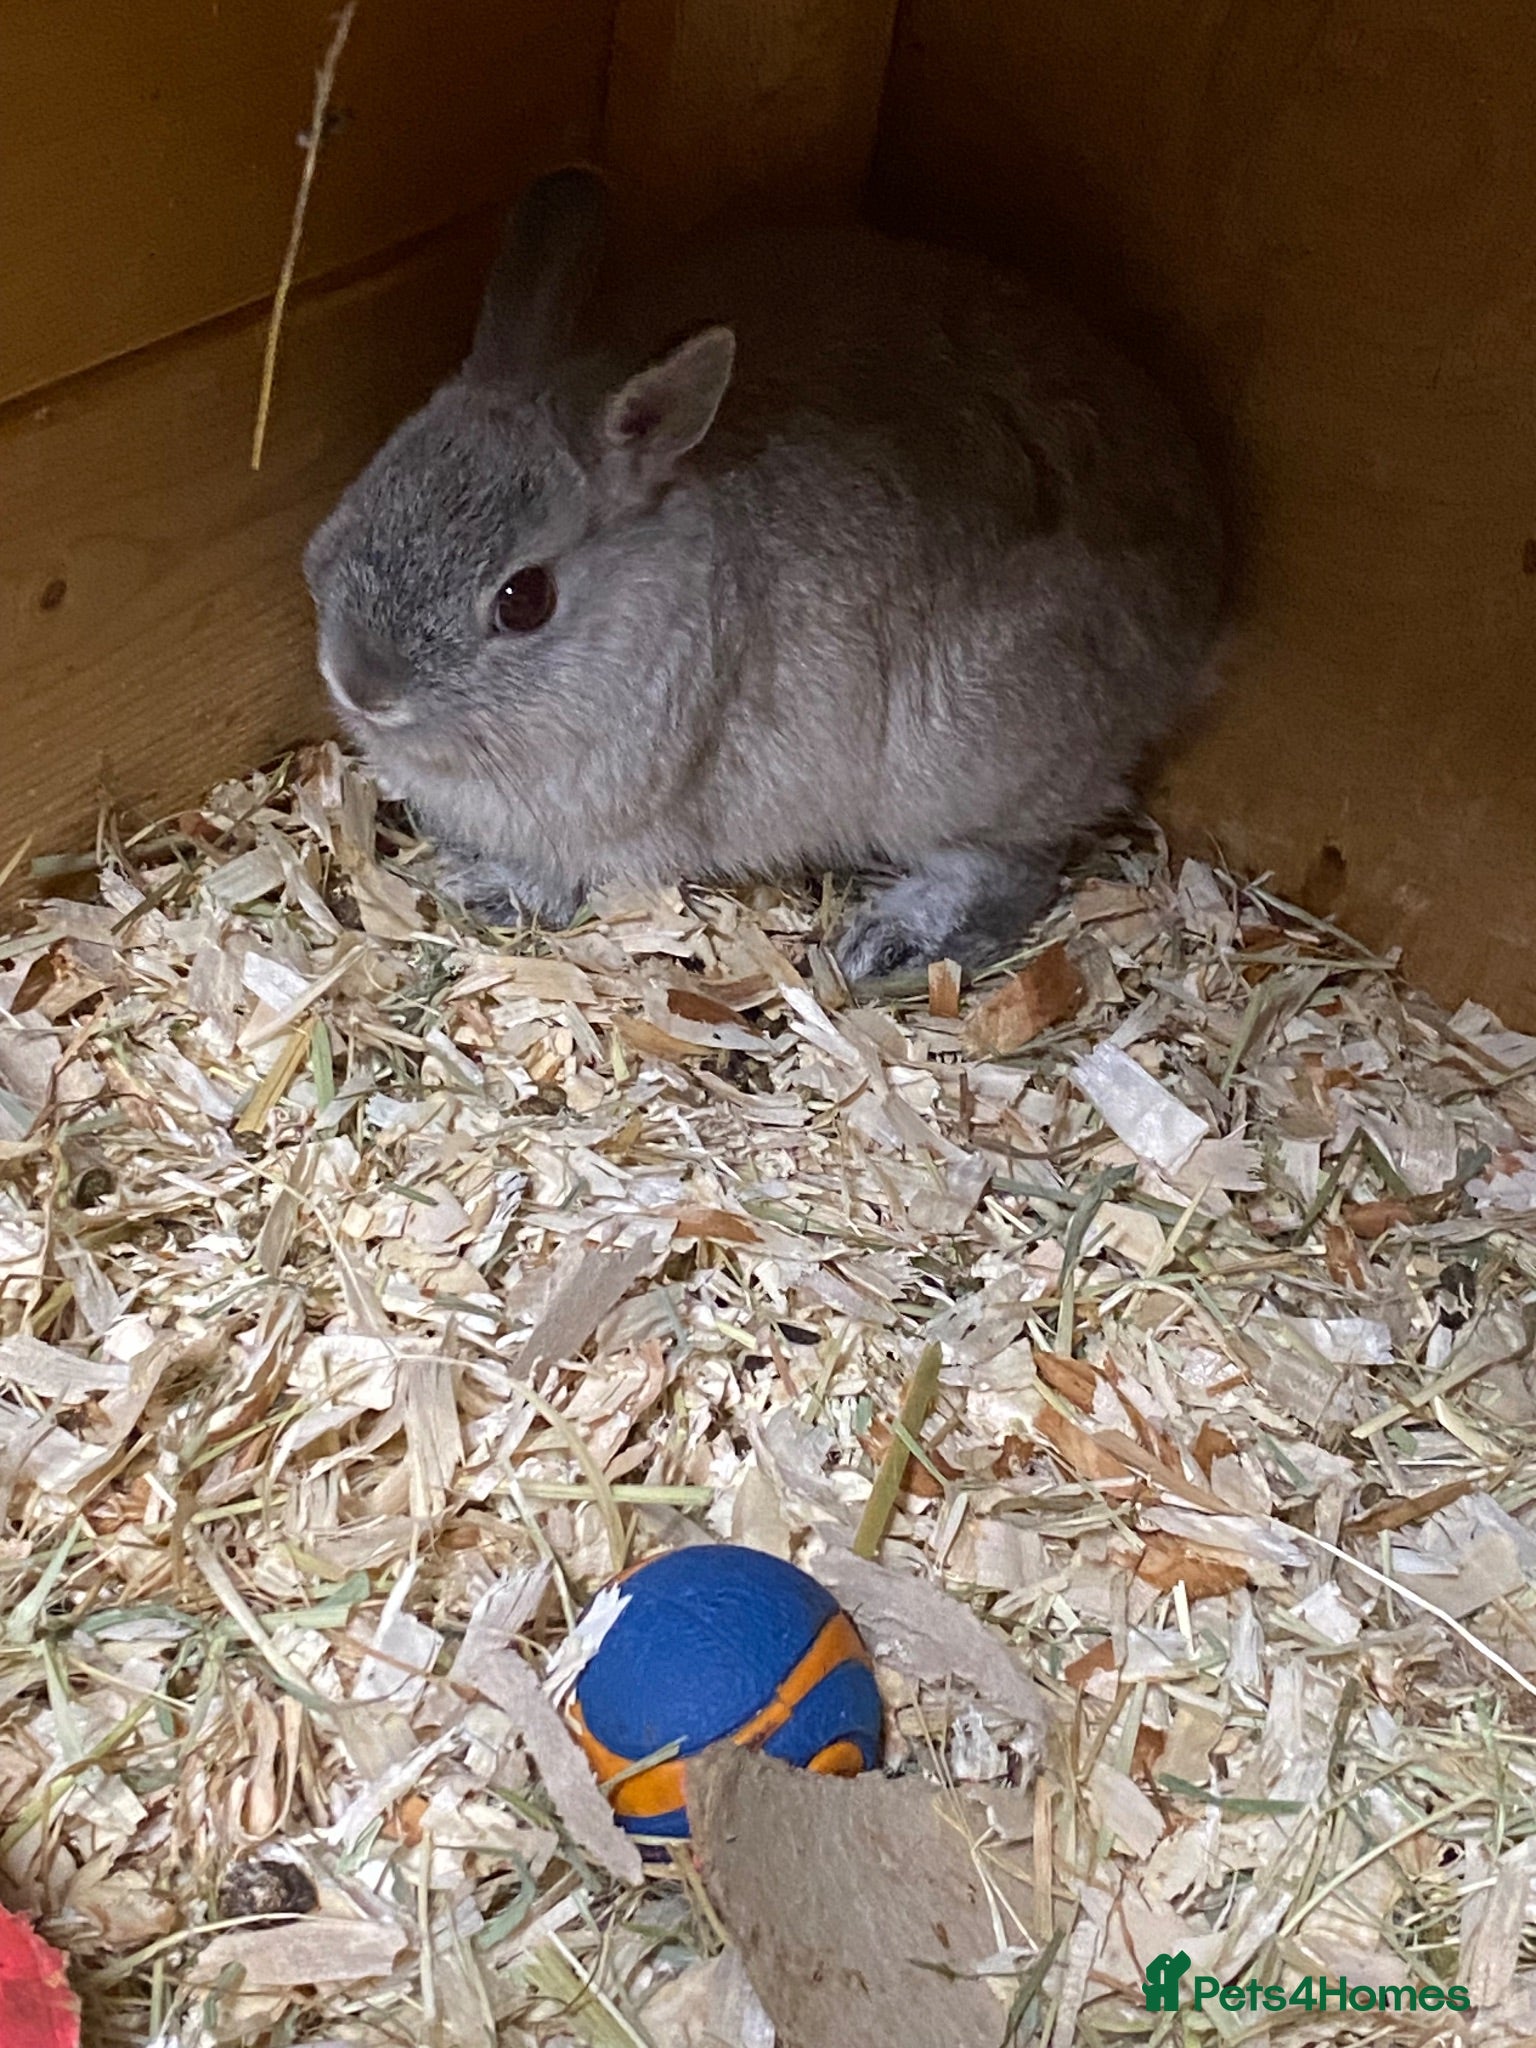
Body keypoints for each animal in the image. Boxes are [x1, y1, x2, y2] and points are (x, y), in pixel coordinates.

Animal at [304, 166, 1224, 982]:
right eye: (364, 492)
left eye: (523, 599)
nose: (363, 684)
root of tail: (1205, 579)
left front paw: (491, 889)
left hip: (963, 770)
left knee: (1012, 864)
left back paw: (894, 946)